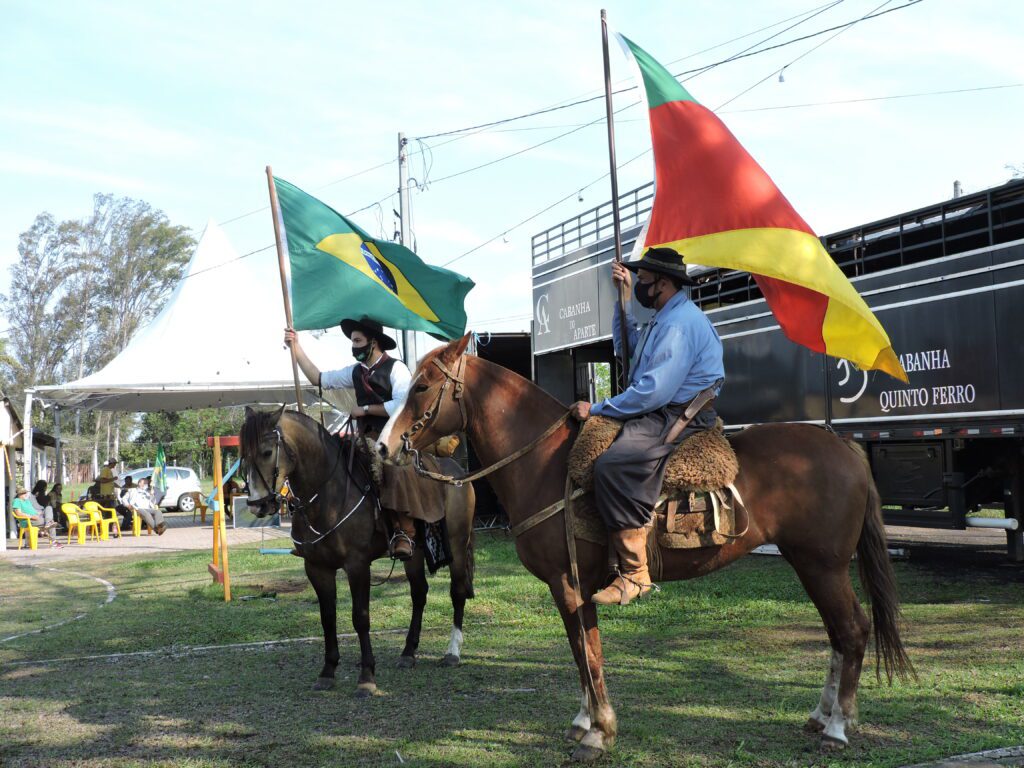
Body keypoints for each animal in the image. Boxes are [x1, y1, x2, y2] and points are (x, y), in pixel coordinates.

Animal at [241, 409, 477, 696]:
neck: (327, 495)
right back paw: (408, 653)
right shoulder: (317, 568)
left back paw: (452, 652)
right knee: (419, 593)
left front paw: (367, 677)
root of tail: (457, 473)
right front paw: (327, 671)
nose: (257, 505)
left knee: (457, 592)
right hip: (416, 552)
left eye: (266, 452)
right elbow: (327, 618)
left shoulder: (357, 565)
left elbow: (360, 618)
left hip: (456, 543)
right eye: (243, 455)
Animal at [382, 335, 913, 765]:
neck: (545, 464)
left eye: (423, 386)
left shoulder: (569, 584)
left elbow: (588, 653)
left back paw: (838, 728)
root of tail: (843, 446)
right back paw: (821, 716)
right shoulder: (570, 587)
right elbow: (581, 651)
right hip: (809, 564)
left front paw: (599, 733)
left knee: (853, 630)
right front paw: (585, 722)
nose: (385, 447)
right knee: (838, 635)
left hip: (824, 566)